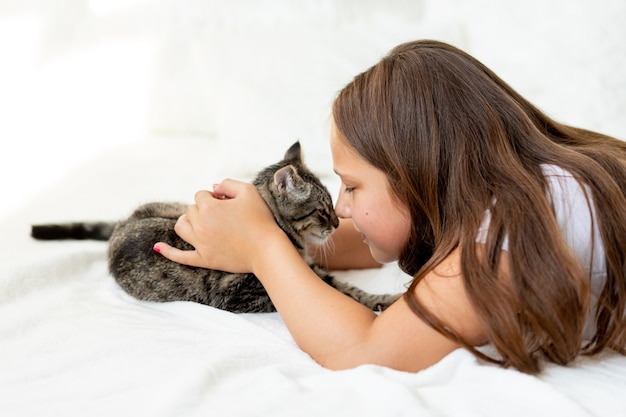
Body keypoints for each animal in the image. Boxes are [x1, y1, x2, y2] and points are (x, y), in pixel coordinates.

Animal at [31, 142, 398, 312]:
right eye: (323, 210)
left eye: (334, 208)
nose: (337, 224)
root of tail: (123, 224)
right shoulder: (243, 293)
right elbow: (338, 290)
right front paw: (381, 300)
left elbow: (343, 286)